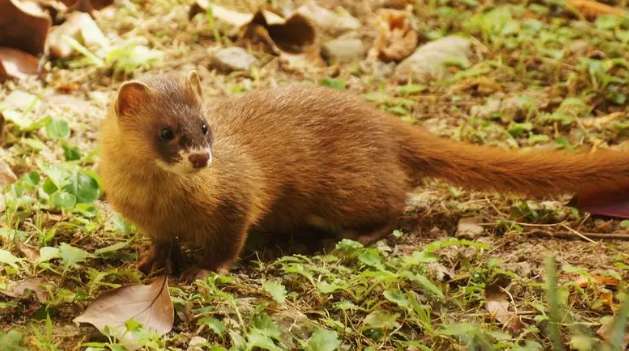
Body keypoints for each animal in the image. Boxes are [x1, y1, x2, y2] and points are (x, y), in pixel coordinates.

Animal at [98, 71, 628, 276]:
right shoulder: (148, 219)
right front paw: (148, 261)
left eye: (205, 126)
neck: (160, 201)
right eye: (166, 132)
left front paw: (205, 270)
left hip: (345, 189)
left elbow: (230, 241)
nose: (202, 158)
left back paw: (351, 238)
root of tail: (382, 120)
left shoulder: (237, 201)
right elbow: (160, 243)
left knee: (396, 201)